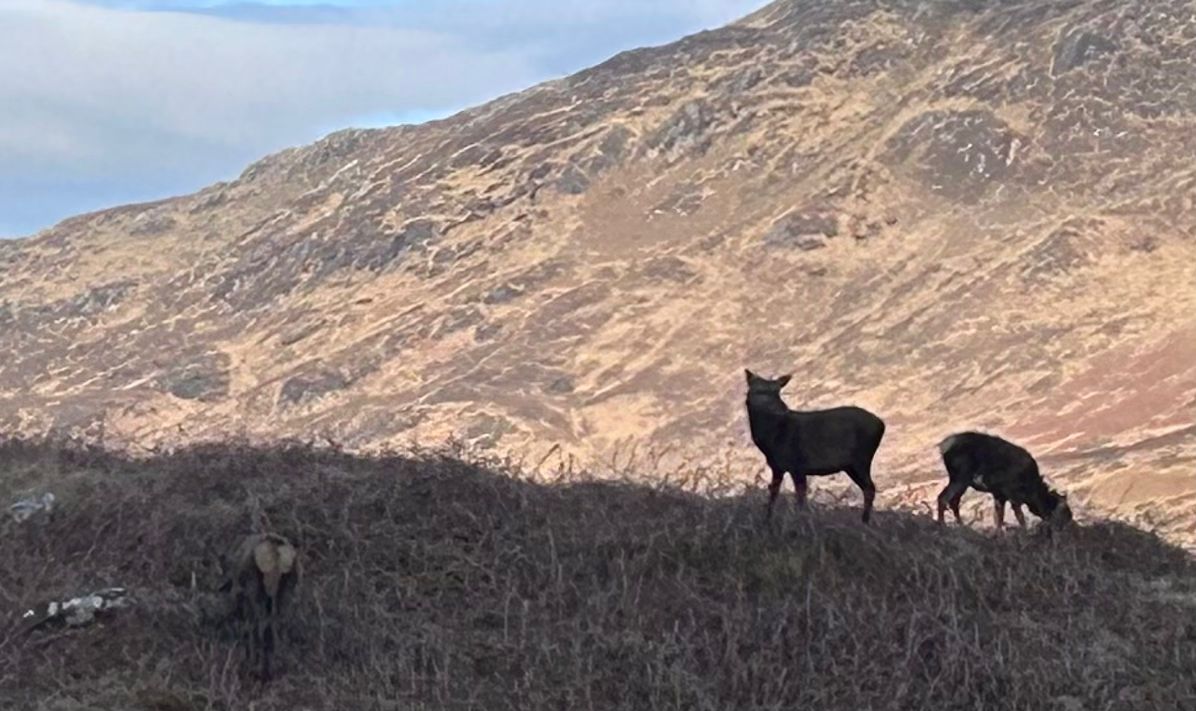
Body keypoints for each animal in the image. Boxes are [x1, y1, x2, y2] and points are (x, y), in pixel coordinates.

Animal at [218, 532, 300, 681]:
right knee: (278, 621)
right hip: (286, 589)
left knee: (261, 623)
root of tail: (276, 554)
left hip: (255, 590)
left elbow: (250, 626)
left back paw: (259, 667)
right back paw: (279, 662)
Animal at [744, 369, 887, 523]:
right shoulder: (777, 467)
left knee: (870, 488)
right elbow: (773, 494)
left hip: (861, 459)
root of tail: (882, 425)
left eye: (778, 391)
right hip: (852, 465)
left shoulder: (797, 464)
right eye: (761, 391)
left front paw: (800, 521)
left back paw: (865, 521)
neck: (769, 442)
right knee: (868, 488)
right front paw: (767, 519)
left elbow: (800, 498)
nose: (784, 408)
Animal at [936, 431, 1073, 530]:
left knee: (953, 502)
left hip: (962, 483)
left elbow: (999, 518)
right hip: (960, 479)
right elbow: (1019, 517)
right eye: (1065, 512)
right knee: (943, 498)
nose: (1070, 523)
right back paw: (942, 525)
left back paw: (962, 526)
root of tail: (943, 446)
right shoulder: (1012, 496)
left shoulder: (999, 495)